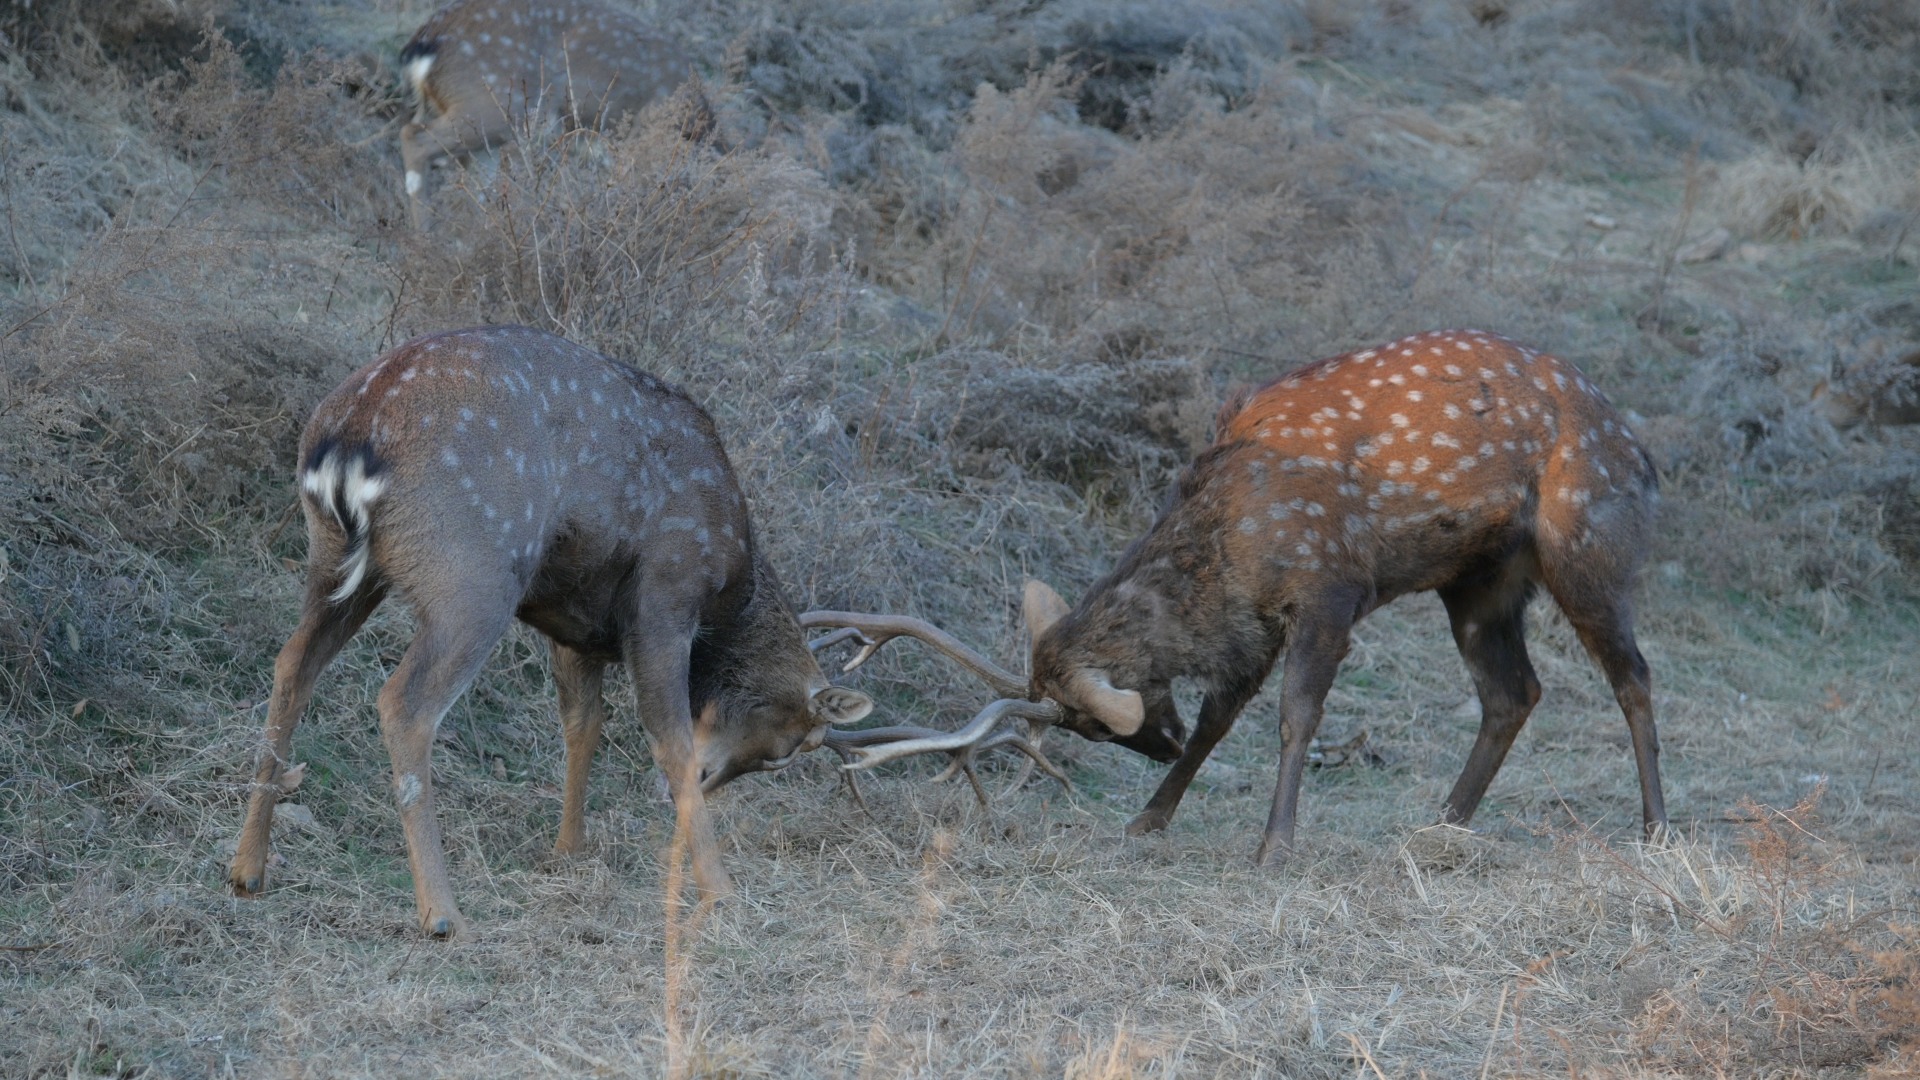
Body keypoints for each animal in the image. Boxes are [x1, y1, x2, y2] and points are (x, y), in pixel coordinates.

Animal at [226, 320, 879, 933]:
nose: (710, 778)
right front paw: (720, 890)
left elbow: (582, 726)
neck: (728, 583)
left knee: (292, 665)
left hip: (334, 563)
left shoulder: (576, 628)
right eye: (789, 750)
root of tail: (347, 440)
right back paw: (442, 913)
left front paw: (567, 851)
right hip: (473, 577)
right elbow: (668, 736)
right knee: (403, 704)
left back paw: (247, 868)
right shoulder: (665, 594)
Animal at [810, 326, 1666, 857]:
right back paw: (1444, 821)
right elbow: (1219, 719)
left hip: (1584, 546)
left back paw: (1656, 827)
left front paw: (1274, 843)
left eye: (1094, 723)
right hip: (1478, 582)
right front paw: (1148, 819)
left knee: (1632, 674)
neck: (1230, 543)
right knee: (1513, 692)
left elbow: (1296, 716)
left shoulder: (1329, 588)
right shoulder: (1254, 622)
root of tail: (1642, 452)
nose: (1155, 747)